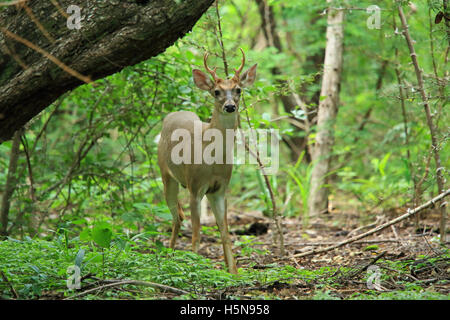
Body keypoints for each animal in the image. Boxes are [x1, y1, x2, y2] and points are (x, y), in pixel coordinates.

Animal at [157, 48, 256, 274]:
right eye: (217, 91)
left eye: (238, 89)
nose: (230, 106)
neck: (213, 161)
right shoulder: (195, 187)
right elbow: (196, 233)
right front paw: (195, 267)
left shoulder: (219, 189)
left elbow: (225, 233)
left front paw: (234, 272)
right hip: (166, 175)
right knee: (177, 215)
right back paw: (168, 256)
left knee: (179, 215)